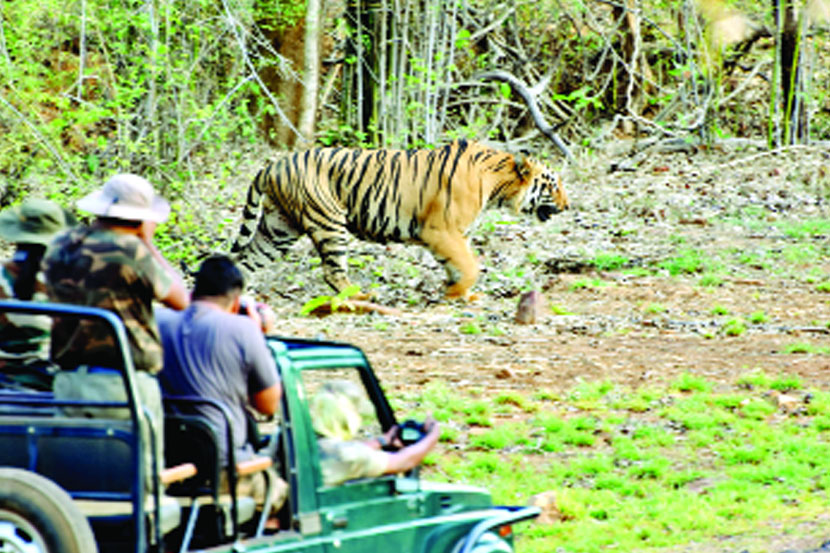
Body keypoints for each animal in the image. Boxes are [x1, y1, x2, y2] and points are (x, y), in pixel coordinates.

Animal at [231, 138, 568, 302]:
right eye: (553, 185)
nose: (567, 205)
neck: (497, 184)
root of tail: (272, 166)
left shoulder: (454, 236)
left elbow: (458, 266)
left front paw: (459, 293)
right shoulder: (440, 230)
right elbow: (469, 266)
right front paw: (456, 294)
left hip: (278, 229)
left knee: (246, 261)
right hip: (328, 222)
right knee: (332, 271)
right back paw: (362, 296)